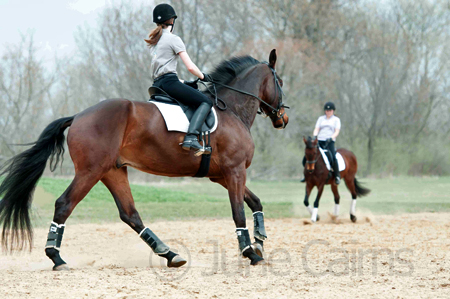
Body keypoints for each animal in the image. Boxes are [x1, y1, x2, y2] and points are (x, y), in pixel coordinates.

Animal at [0, 49, 288, 270]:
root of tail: (79, 115)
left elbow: (255, 202)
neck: (233, 111)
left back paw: (170, 254)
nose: (283, 118)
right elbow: (239, 212)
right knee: (64, 204)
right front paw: (250, 252)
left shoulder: (221, 175)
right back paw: (56, 257)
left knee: (130, 214)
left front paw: (259, 240)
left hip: (112, 171)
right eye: (281, 82)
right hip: (90, 171)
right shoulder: (234, 171)